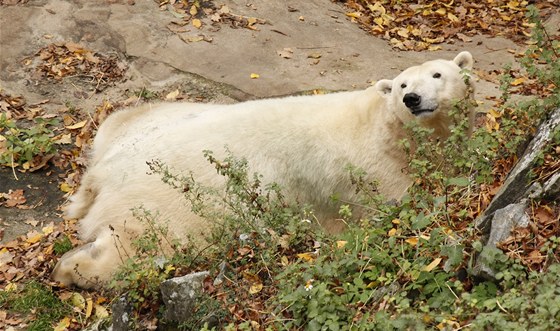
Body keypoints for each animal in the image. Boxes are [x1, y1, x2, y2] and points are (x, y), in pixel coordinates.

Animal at [52, 51, 474, 288]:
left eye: (438, 74)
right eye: (403, 83)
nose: (412, 98)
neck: (379, 124)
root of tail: (102, 172)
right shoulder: (375, 174)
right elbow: (400, 207)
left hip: (145, 118)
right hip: (170, 202)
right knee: (145, 244)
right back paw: (72, 268)